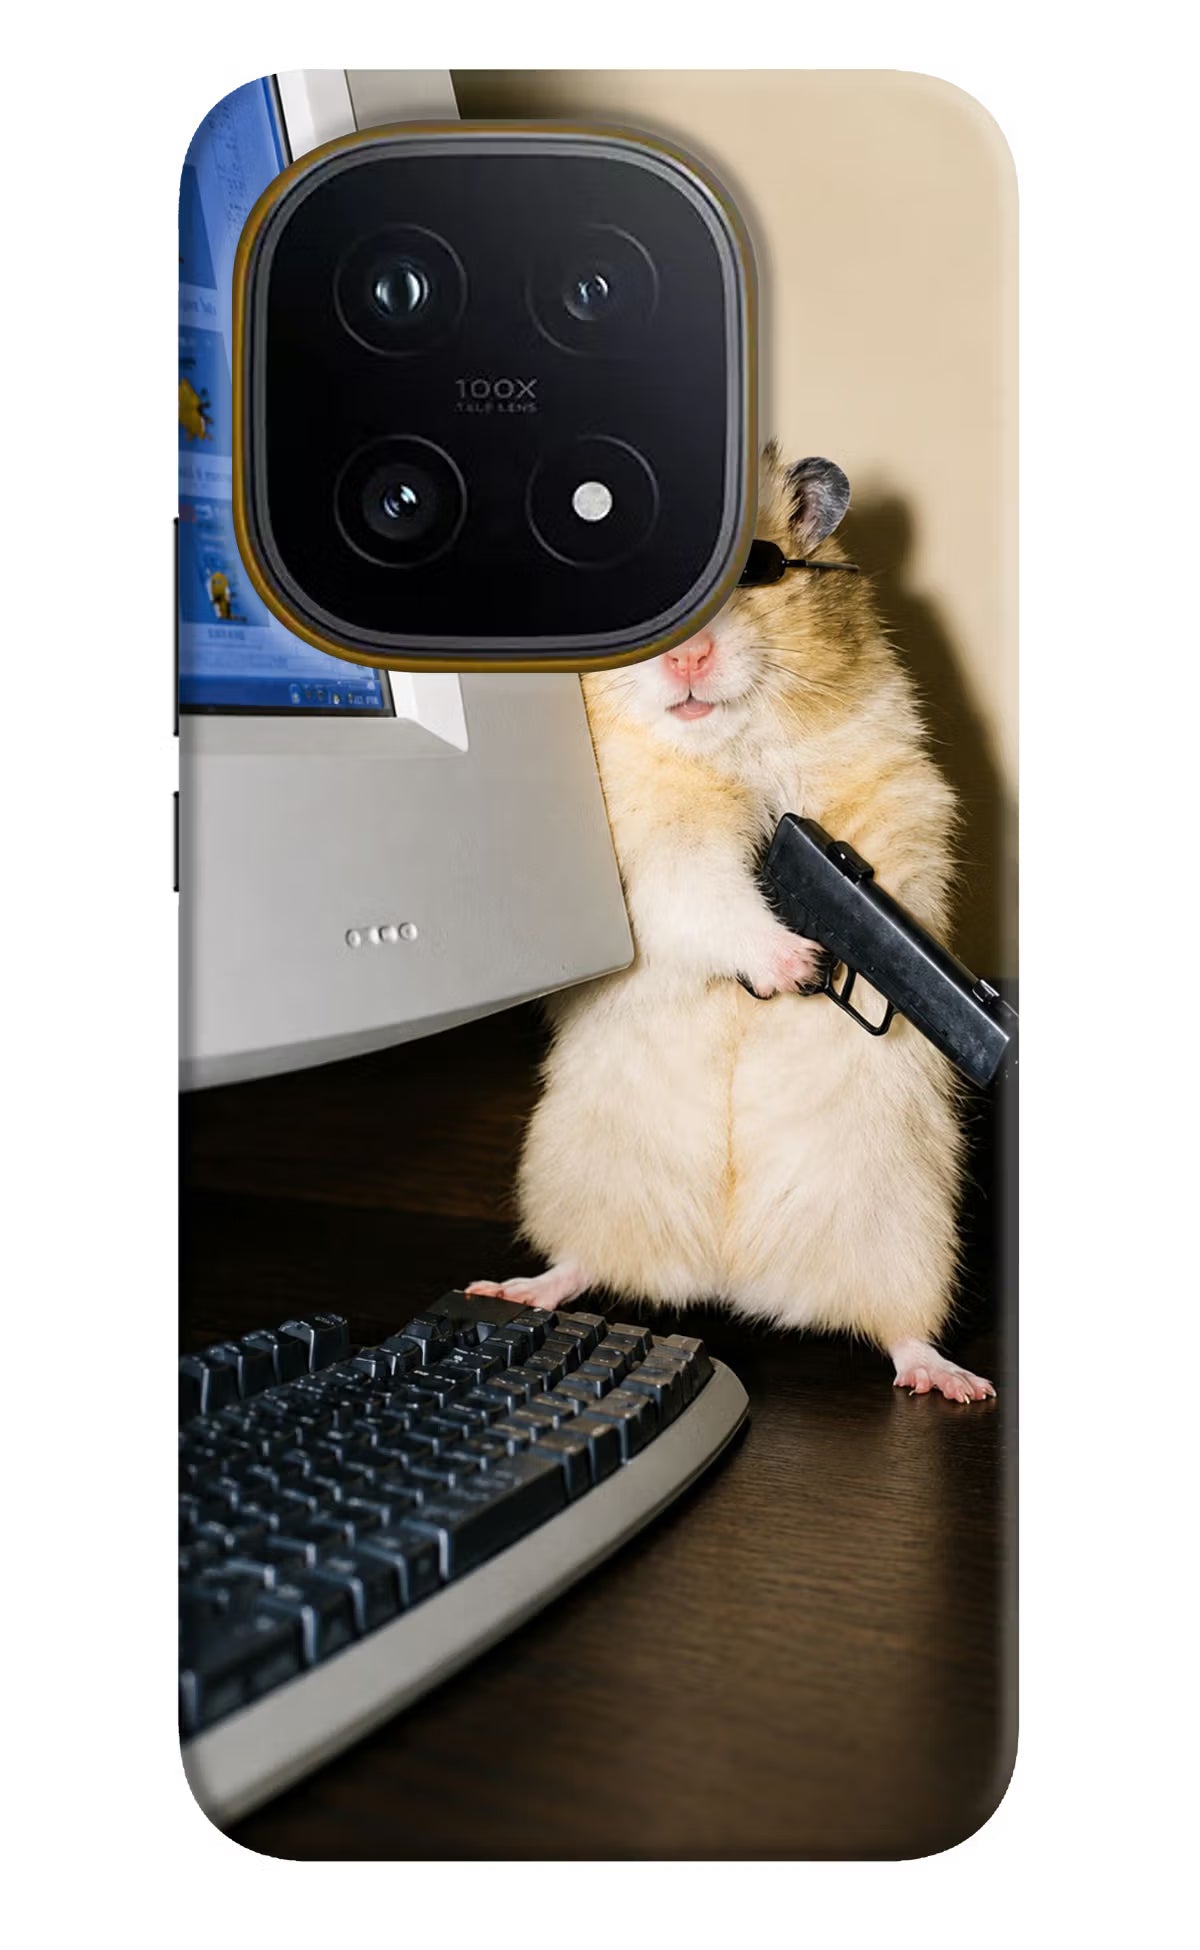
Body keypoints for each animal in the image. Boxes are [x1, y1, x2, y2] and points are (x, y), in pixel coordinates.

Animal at [469, 444, 994, 1402]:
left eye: (762, 568)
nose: (688, 660)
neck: (728, 744)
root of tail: (730, 1276)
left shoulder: (895, 793)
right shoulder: (653, 851)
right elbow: (709, 896)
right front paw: (797, 964)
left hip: (907, 1229)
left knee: (900, 1329)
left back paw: (954, 1382)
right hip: (579, 1176)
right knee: (581, 1263)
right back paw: (514, 1288)